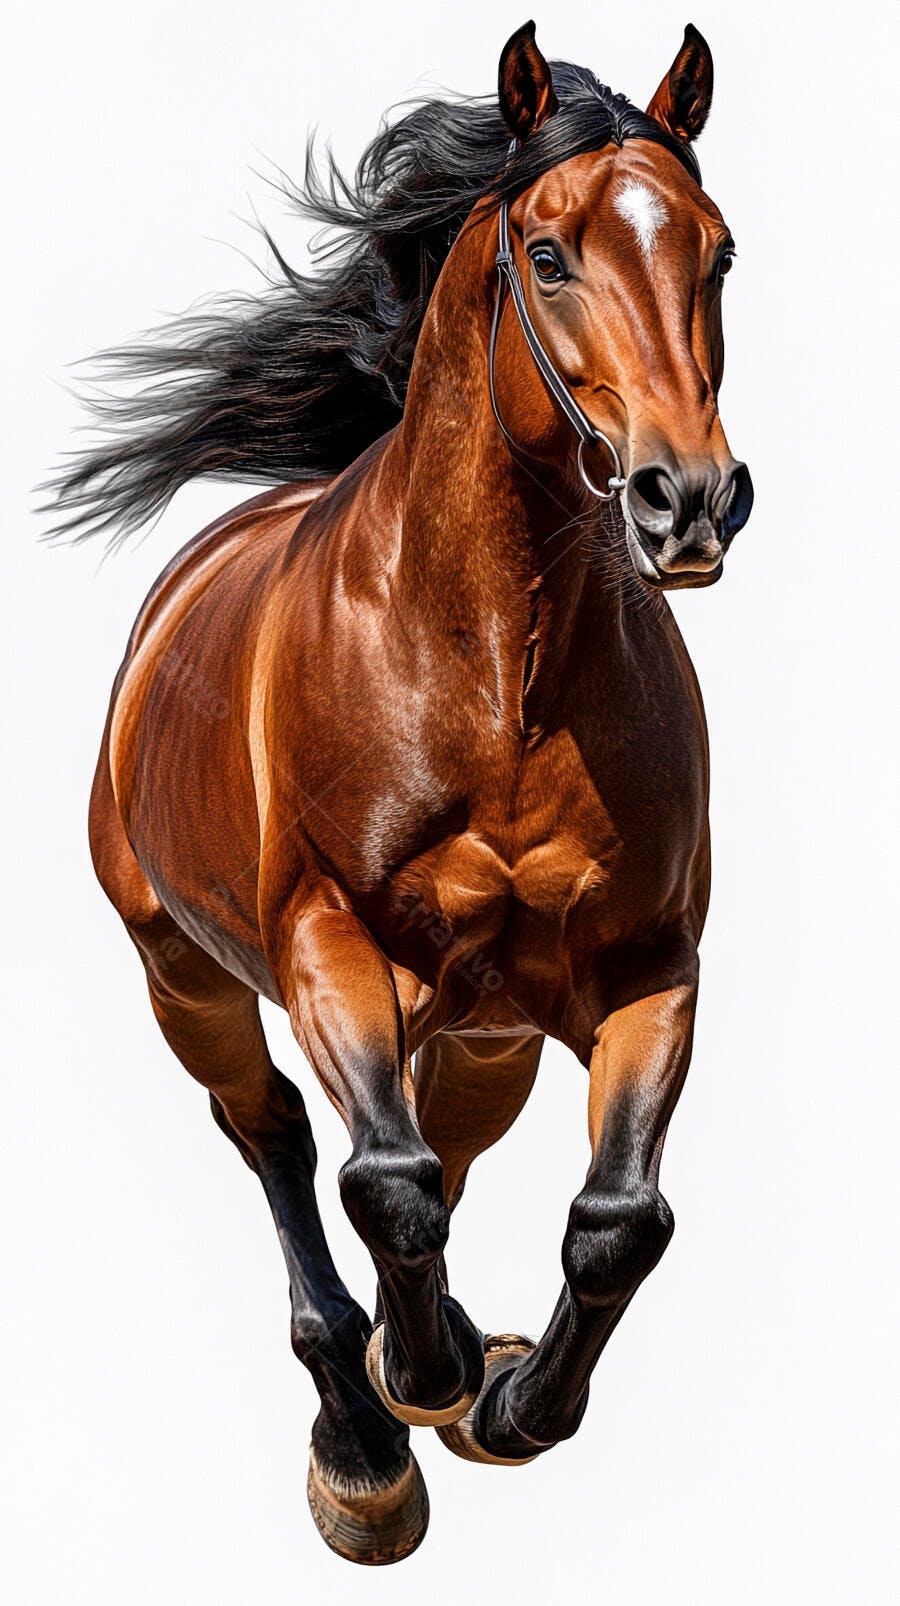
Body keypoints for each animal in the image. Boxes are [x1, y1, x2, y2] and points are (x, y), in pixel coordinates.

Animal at [50, 21, 753, 1565]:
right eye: (548, 255)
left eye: (720, 251)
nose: (688, 501)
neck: (498, 675)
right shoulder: (328, 941)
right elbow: (382, 1181)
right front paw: (413, 1389)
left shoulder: (648, 965)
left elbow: (619, 1216)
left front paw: (508, 1401)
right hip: (185, 974)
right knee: (280, 1138)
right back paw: (364, 1432)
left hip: (484, 1030)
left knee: (443, 1138)